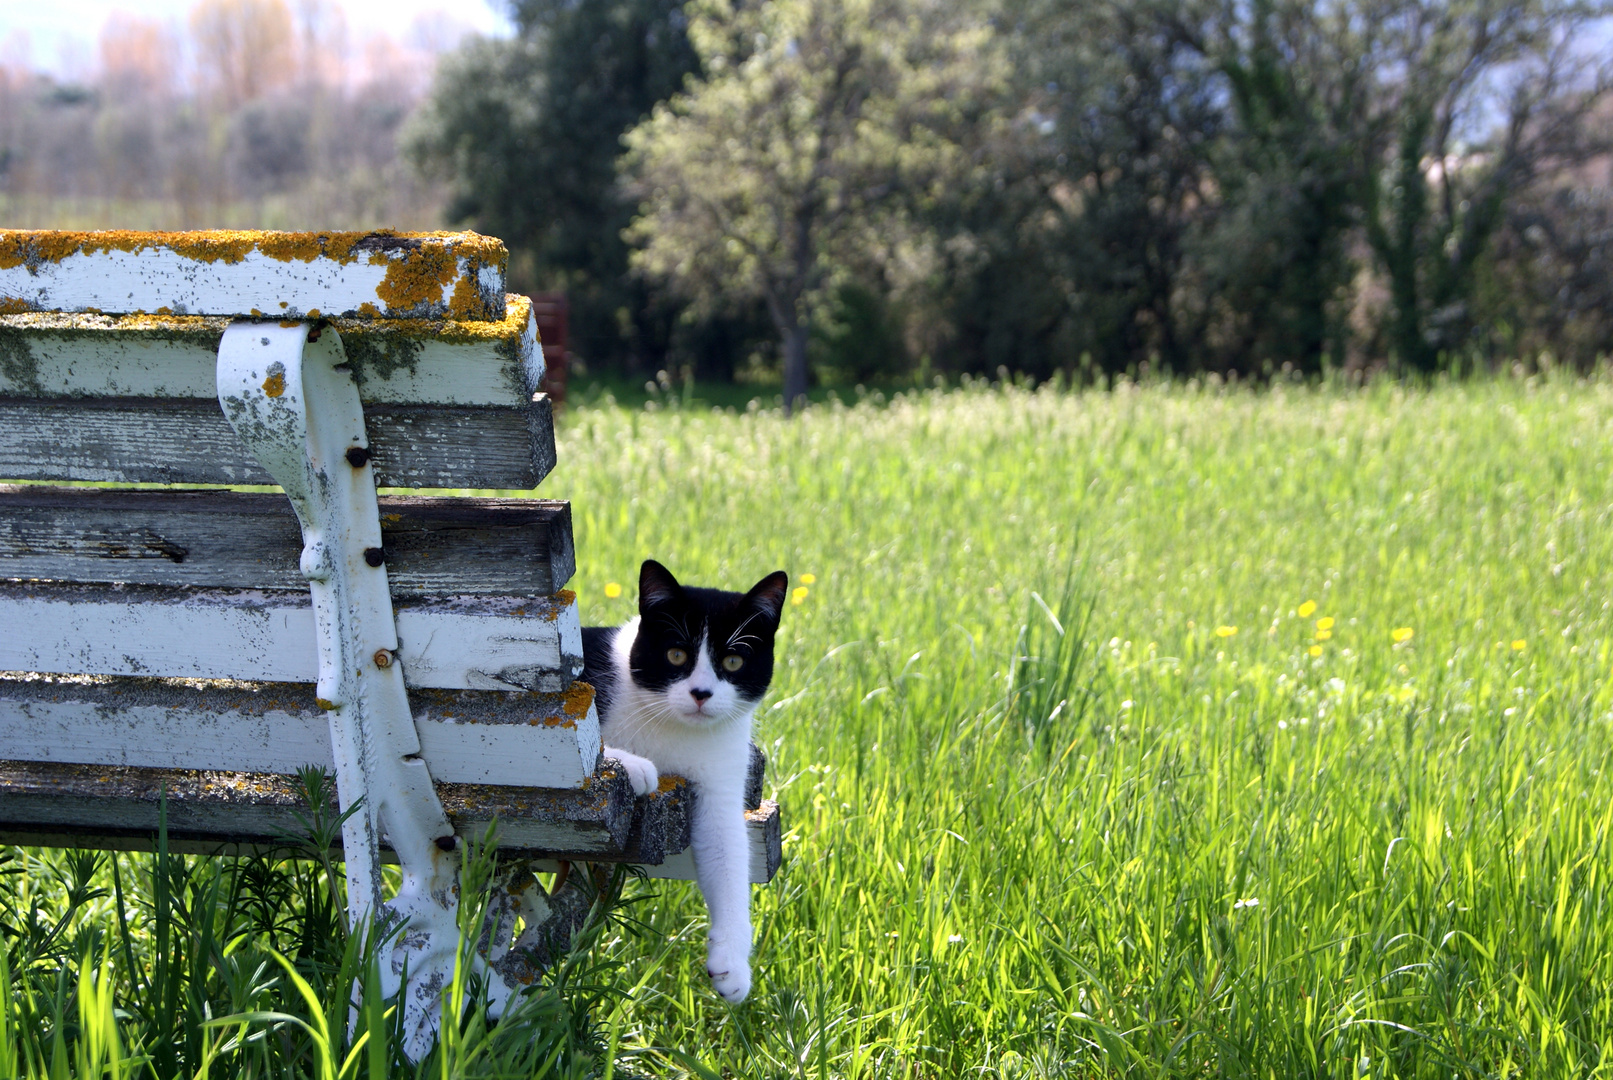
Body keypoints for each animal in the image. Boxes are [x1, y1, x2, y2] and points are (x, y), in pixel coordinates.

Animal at [583, 557, 790, 1005]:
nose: (700, 693)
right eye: (676, 654)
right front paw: (632, 764)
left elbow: (727, 857)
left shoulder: (720, 782)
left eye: (733, 662)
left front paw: (733, 966)